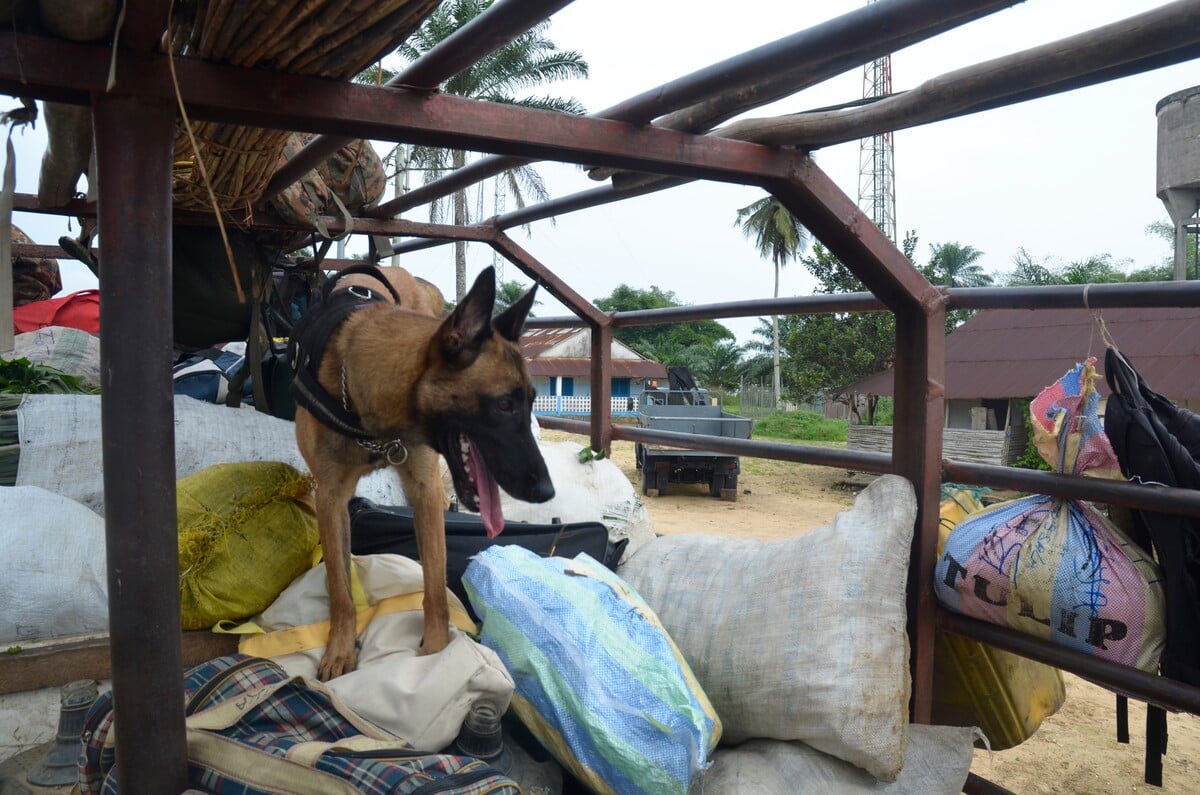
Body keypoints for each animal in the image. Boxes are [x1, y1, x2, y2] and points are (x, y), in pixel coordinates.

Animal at [292, 264, 554, 682]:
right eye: (504, 405)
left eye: (531, 402)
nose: (547, 491)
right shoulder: (330, 499)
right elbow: (339, 586)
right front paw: (340, 649)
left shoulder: (423, 489)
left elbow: (434, 585)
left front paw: (436, 653)